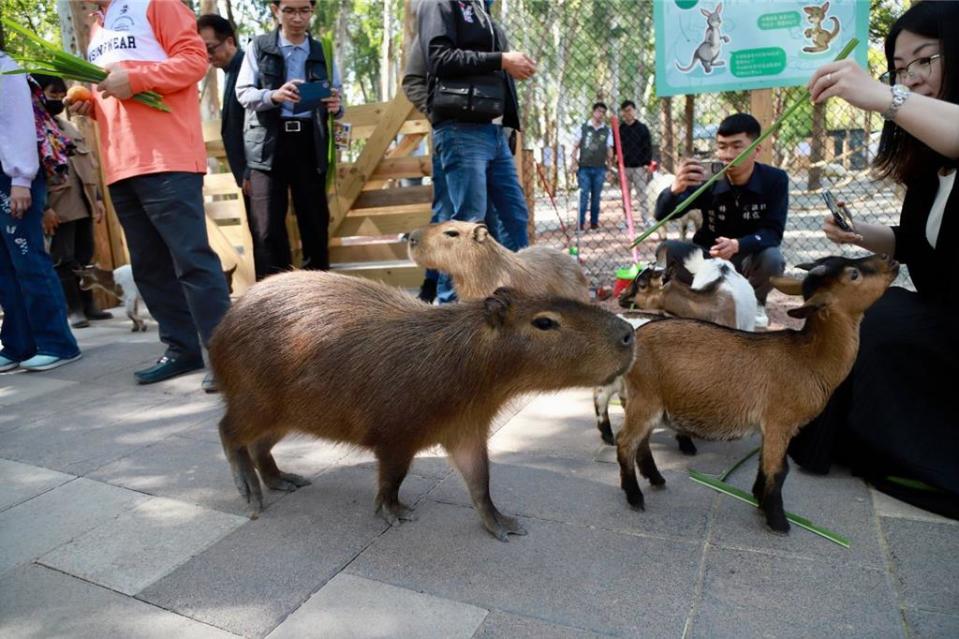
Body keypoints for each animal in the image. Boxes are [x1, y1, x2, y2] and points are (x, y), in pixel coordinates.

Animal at [214, 268, 640, 540]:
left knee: (259, 445)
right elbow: (392, 477)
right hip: (255, 402)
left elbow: (480, 480)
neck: (456, 353)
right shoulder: (397, 435)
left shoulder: (467, 431)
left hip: (287, 415)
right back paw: (249, 490)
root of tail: (219, 331)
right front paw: (395, 512)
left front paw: (503, 524)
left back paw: (284, 479)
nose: (629, 334)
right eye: (545, 322)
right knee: (228, 432)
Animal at [620, 255, 896, 536]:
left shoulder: (771, 427)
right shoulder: (779, 422)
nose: (890, 260)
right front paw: (778, 521)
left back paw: (656, 478)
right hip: (645, 397)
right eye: (854, 274)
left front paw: (760, 501)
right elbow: (778, 469)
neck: (809, 358)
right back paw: (635, 497)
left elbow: (764, 464)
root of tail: (637, 335)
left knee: (641, 441)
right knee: (625, 442)